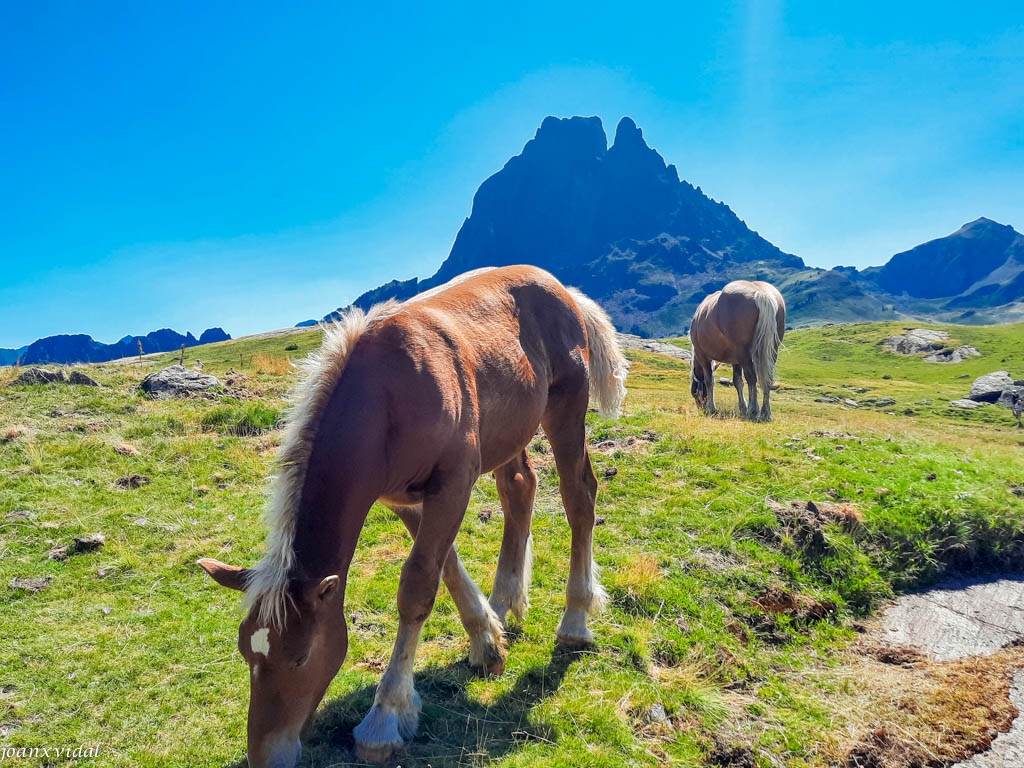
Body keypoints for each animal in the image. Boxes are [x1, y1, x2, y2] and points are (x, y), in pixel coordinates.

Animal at [192, 266, 622, 768]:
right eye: (247, 651)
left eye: (300, 658)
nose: (266, 757)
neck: (386, 398)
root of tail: (563, 290)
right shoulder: (402, 497)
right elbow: (445, 568)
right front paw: (487, 641)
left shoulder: (453, 483)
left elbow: (417, 588)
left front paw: (386, 716)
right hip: (510, 432)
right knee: (519, 489)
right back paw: (503, 603)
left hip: (566, 412)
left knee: (580, 497)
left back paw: (575, 619)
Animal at [688, 280, 782, 421]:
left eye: (694, 393)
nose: (701, 408)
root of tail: (760, 292)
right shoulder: (736, 361)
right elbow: (738, 382)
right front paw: (742, 407)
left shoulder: (703, 356)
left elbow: (709, 381)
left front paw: (711, 407)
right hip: (772, 351)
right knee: (767, 378)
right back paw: (765, 412)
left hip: (744, 353)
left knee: (752, 378)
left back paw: (753, 410)